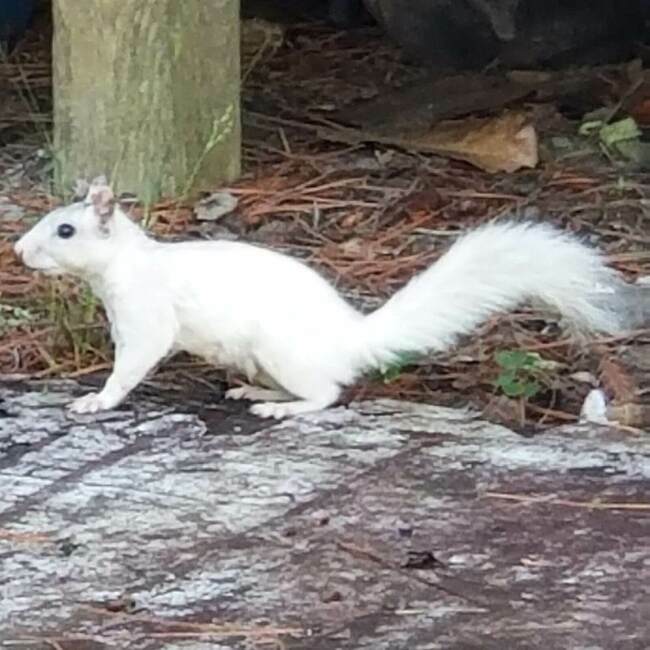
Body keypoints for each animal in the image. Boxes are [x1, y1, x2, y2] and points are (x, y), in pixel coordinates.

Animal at [15, 177, 632, 418]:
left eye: (65, 231)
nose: (19, 251)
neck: (127, 263)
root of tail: (351, 338)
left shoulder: (147, 316)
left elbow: (134, 362)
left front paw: (98, 400)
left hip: (283, 352)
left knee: (327, 394)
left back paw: (279, 406)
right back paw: (251, 391)